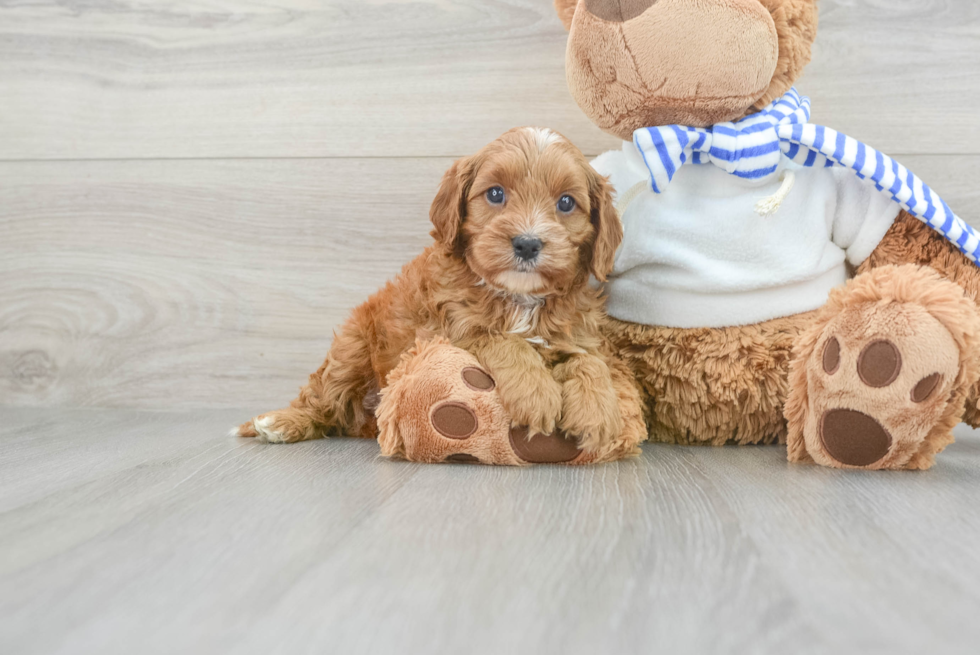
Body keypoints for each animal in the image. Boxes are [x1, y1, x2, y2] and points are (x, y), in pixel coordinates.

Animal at [236, 127, 648, 462]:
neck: (519, 298)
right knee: (322, 398)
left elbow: (589, 361)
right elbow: (500, 339)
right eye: (495, 194)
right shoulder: (445, 328)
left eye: (565, 202)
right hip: (351, 349)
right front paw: (536, 394)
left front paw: (598, 410)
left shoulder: (579, 333)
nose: (527, 243)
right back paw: (279, 422)